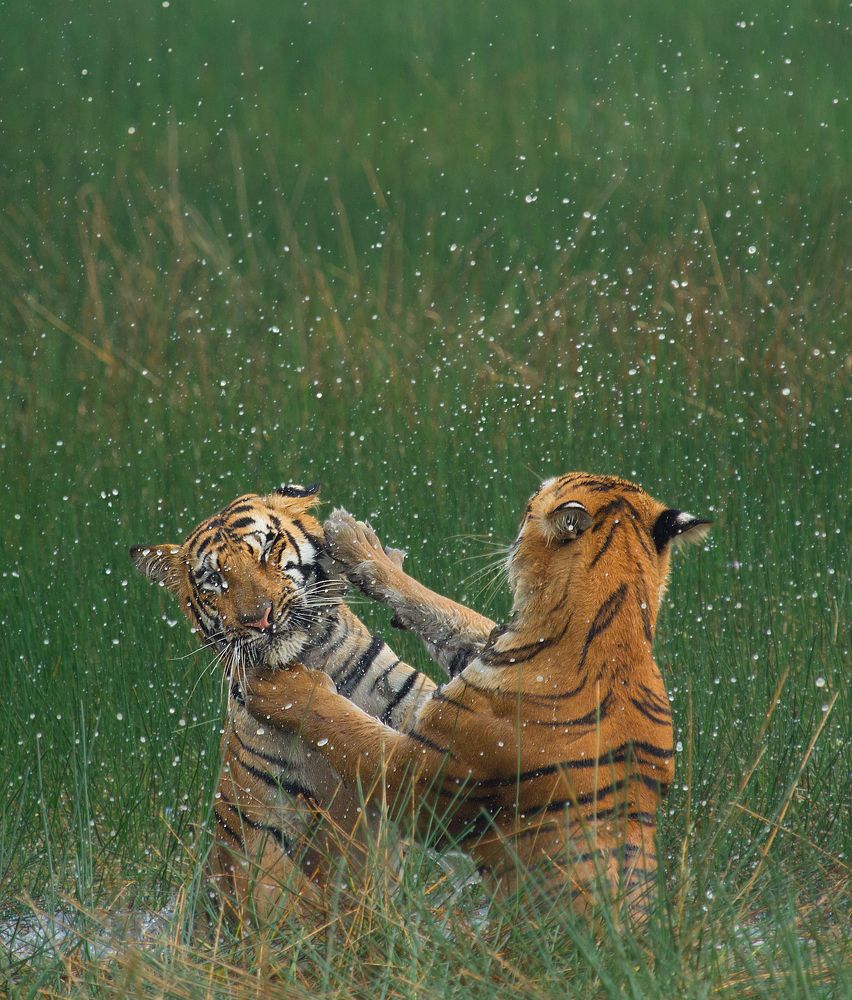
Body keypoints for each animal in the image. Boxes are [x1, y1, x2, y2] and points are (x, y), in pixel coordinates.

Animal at [130, 483, 453, 926]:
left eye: (267, 548)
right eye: (213, 579)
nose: (259, 619)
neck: (308, 658)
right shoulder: (263, 826)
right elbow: (284, 902)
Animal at [242, 473, 711, 922]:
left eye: (530, 504)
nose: (524, 505)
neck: (617, 622)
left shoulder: (415, 777)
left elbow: (347, 726)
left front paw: (278, 688)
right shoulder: (484, 646)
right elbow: (441, 609)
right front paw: (361, 543)